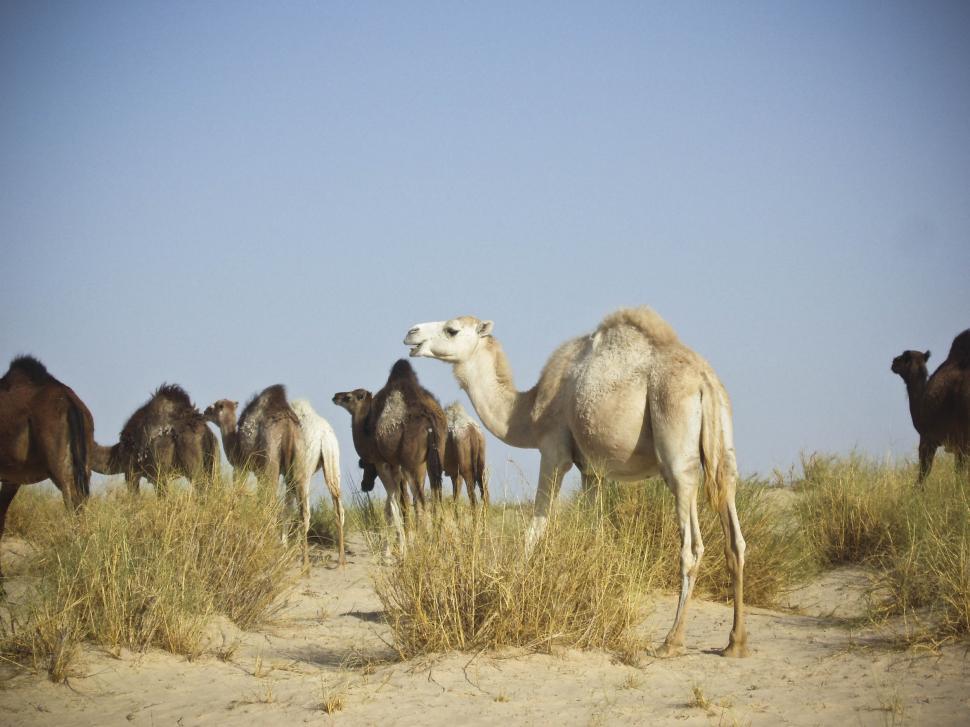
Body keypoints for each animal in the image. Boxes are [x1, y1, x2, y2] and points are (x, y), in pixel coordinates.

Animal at [0, 355, 94, 583]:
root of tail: (71, 402)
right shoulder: (11, 477)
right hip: (84, 455)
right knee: (82, 499)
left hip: (57, 458)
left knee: (71, 498)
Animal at [204, 385, 310, 570]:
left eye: (215, 406)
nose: (204, 411)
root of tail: (288, 426)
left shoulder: (242, 466)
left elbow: (238, 496)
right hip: (299, 461)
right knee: (302, 510)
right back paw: (304, 563)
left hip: (270, 461)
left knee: (271, 504)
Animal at [289, 399, 346, 566]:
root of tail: (323, 436)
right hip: (333, 463)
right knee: (339, 509)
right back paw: (341, 561)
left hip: (302, 474)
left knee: (305, 515)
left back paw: (305, 562)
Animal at [332, 359, 446, 549]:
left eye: (348, 397)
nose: (335, 396)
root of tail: (430, 422)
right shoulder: (396, 464)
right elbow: (398, 501)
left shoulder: (382, 462)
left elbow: (392, 502)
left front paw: (395, 547)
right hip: (432, 461)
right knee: (434, 497)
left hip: (413, 465)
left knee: (421, 502)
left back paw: (423, 544)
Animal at [404, 307, 747, 658]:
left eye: (452, 330)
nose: (411, 333)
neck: (528, 413)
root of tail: (704, 380)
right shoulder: (592, 471)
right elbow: (595, 538)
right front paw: (594, 613)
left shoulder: (554, 452)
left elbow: (535, 530)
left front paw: (505, 602)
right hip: (724, 448)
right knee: (736, 538)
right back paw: (735, 643)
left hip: (676, 448)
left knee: (691, 547)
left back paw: (671, 641)